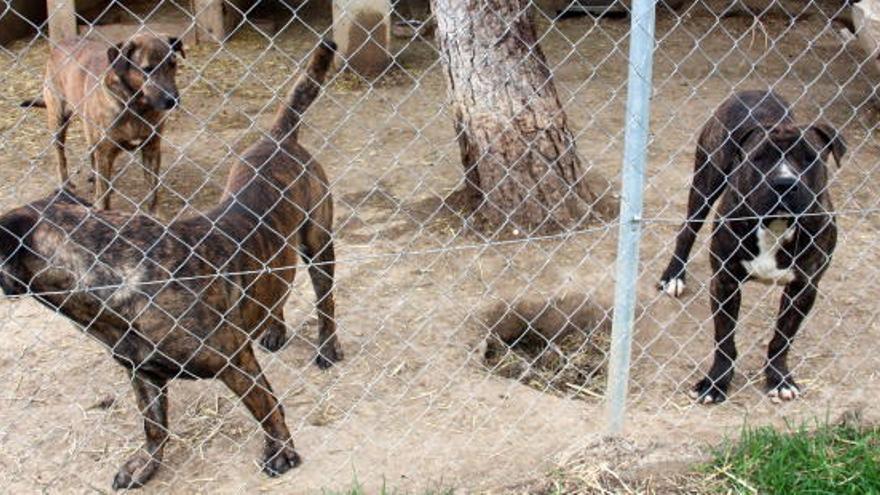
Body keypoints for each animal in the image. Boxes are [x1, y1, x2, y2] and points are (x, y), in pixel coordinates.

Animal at [22, 32, 184, 214]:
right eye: (147, 69)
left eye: (173, 64)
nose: (172, 100)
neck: (136, 107)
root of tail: (61, 43)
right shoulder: (105, 151)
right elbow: (104, 195)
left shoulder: (152, 147)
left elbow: (152, 190)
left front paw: (153, 214)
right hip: (58, 120)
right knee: (61, 156)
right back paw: (66, 184)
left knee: (91, 152)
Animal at [660, 91, 844, 404]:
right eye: (759, 158)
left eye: (809, 158)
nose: (784, 183)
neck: (776, 225)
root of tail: (756, 91)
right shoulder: (725, 280)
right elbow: (724, 338)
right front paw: (715, 383)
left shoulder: (804, 287)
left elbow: (782, 338)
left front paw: (779, 378)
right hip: (706, 181)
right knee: (687, 231)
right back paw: (673, 276)